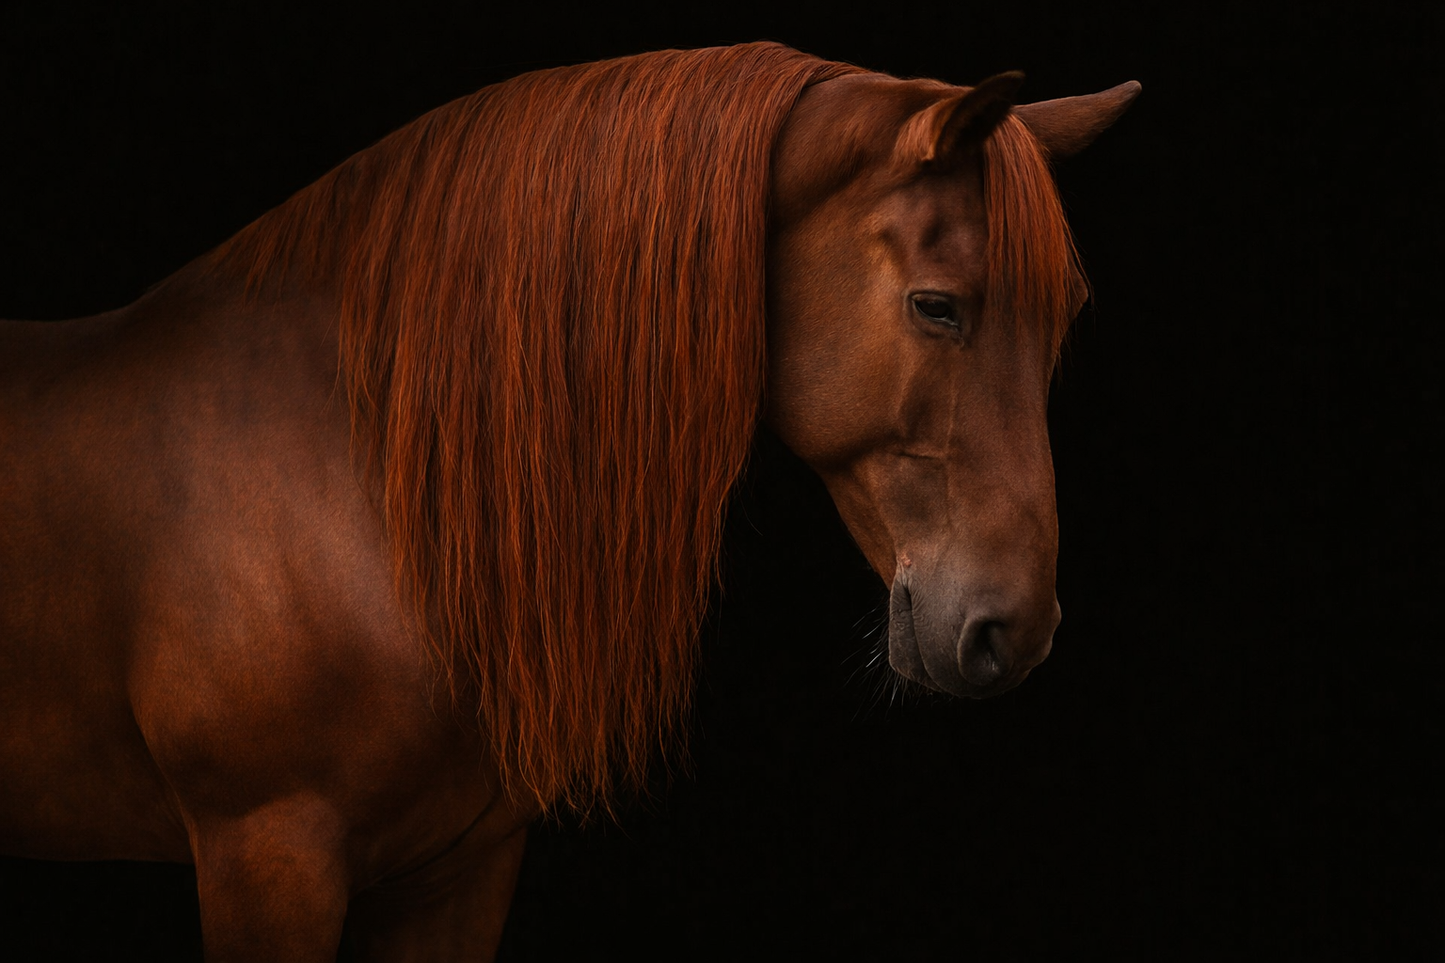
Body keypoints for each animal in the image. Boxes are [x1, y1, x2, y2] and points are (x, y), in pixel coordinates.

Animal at [0, 42, 1137, 961]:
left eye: (1062, 317)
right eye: (936, 306)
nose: (1014, 628)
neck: (353, 470)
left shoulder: (456, 870)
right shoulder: (267, 855)